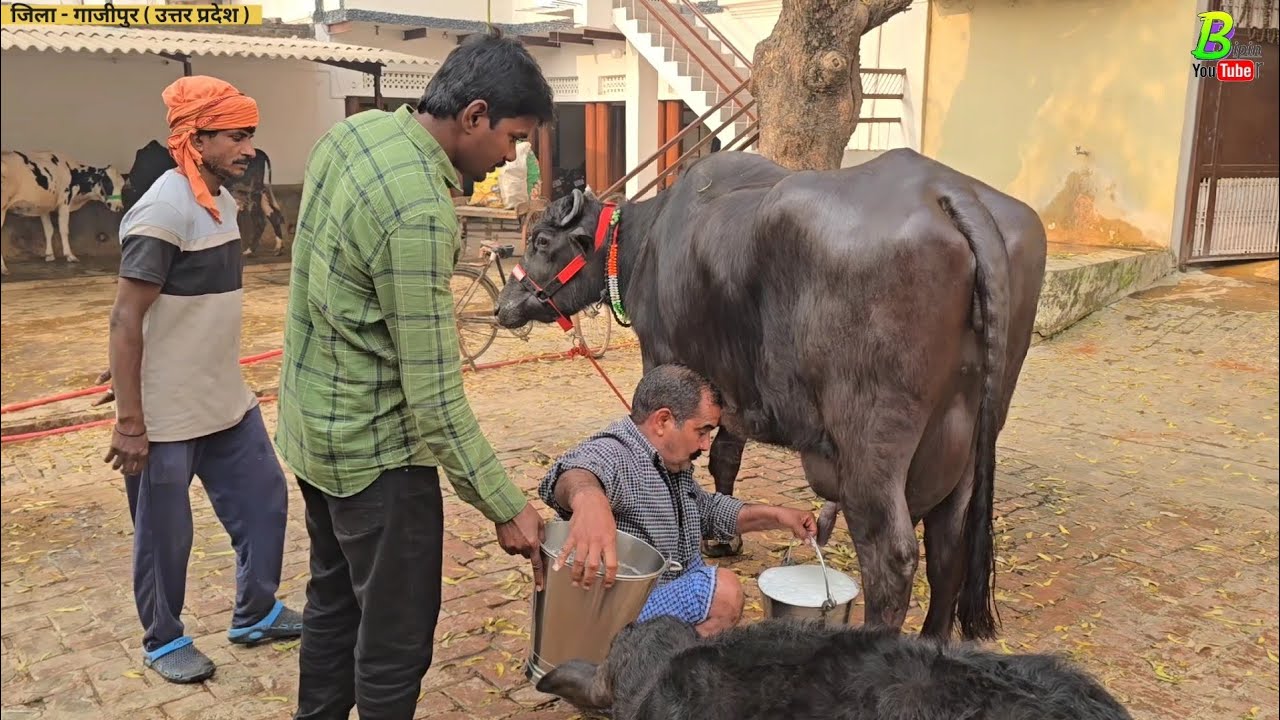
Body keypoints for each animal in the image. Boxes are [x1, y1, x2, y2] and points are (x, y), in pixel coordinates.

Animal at [495, 148, 1048, 641]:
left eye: (541, 240)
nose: (504, 305)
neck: (648, 242)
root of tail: (947, 191)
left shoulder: (668, 359)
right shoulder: (732, 389)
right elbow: (725, 456)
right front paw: (727, 535)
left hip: (874, 436)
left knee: (891, 555)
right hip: (970, 432)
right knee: (948, 541)